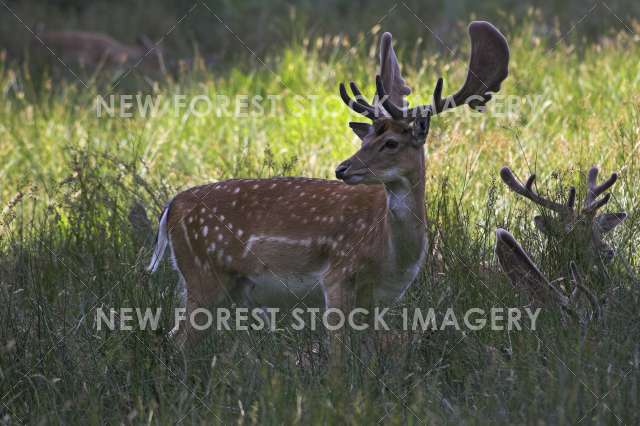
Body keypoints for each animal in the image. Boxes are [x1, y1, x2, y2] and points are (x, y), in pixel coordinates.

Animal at [146, 20, 510, 346]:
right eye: (366, 140)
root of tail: (171, 206)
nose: (342, 168)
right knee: (180, 339)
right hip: (203, 274)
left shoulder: (378, 301)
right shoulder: (337, 275)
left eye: (391, 142)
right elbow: (337, 355)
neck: (391, 253)